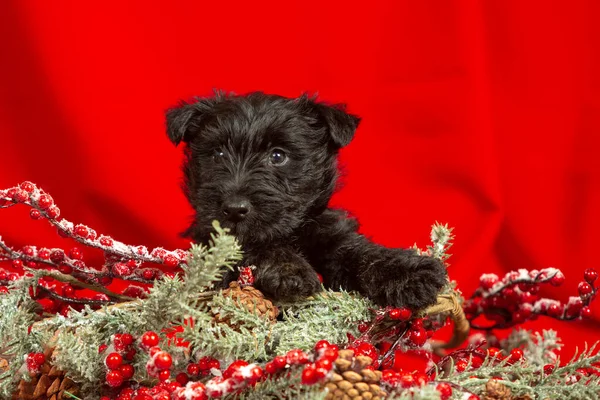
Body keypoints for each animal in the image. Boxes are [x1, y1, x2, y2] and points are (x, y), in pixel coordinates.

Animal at [166, 91, 448, 310]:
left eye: (278, 156)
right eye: (218, 154)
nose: (234, 209)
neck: (291, 232)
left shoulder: (331, 234)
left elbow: (360, 250)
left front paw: (408, 273)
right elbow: (257, 246)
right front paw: (289, 270)